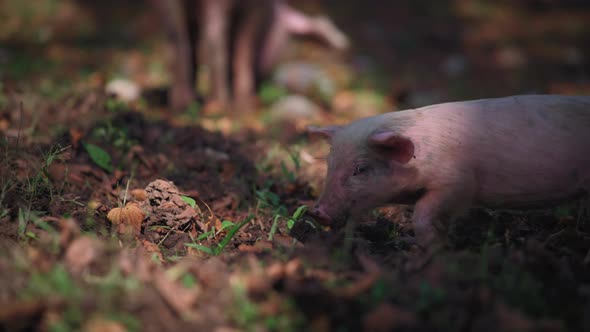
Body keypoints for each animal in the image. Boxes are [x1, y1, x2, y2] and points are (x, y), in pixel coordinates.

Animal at [308, 94, 590, 248]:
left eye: (361, 169)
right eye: (329, 163)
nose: (317, 212)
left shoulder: (459, 182)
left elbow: (423, 213)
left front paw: (434, 248)